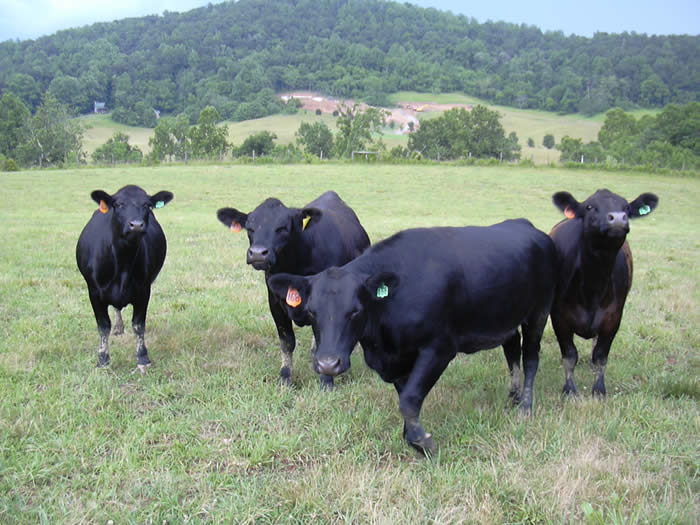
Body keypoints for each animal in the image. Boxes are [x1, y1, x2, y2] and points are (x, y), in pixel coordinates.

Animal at [76, 185, 173, 371]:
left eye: (147, 205)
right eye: (119, 204)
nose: (136, 225)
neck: (123, 263)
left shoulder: (144, 290)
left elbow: (138, 325)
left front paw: (143, 358)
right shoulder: (94, 292)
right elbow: (103, 326)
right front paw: (103, 359)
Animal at [217, 191, 370, 388]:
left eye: (282, 227)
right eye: (250, 228)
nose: (258, 253)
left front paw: (326, 381)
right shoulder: (274, 302)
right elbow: (287, 341)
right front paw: (285, 377)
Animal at [266, 220, 557, 456]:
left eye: (356, 310)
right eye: (312, 311)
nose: (328, 364)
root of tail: (529, 228)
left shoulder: (438, 348)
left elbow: (408, 400)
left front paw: (422, 442)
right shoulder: (398, 359)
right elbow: (405, 395)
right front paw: (410, 436)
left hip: (539, 312)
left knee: (531, 357)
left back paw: (526, 406)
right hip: (508, 317)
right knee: (512, 349)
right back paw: (514, 395)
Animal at [550, 188, 658, 397]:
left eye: (626, 207)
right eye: (590, 206)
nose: (617, 218)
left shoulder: (613, 318)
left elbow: (600, 356)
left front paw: (599, 390)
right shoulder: (559, 317)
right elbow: (569, 355)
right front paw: (570, 390)